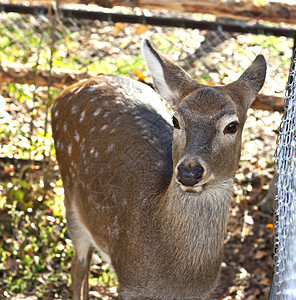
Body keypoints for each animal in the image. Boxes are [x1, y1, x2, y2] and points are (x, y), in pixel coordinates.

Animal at [52, 38, 268, 298]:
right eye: (176, 120)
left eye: (232, 126)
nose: (189, 172)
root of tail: (65, 92)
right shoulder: (129, 284)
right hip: (69, 198)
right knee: (78, 265)